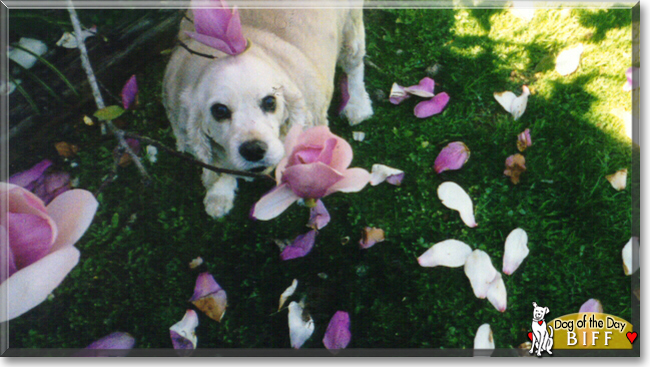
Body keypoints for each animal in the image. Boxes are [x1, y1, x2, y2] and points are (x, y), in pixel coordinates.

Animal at [165, 3, 372, 218]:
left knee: (355, 65)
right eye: (219, 110)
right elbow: (219, 168)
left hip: (351, 28)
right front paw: (219, 195)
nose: (254, 150)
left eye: (270, 102)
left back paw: (357, 105)